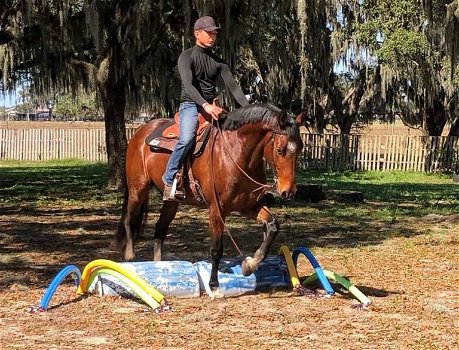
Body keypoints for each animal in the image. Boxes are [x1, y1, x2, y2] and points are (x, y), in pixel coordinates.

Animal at [117, 104, 306, 298]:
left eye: (300, 148)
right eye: (280, 150)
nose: (288, 191)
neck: (237, 153)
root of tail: (140, 133)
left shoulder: (250, 206)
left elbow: (273, 226)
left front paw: (249, 265)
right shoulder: (217, 209)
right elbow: (216, 248)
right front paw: (214, 286)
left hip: (171, 201)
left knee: (160, 228)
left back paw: (158, 264)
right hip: (138, 188)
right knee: (129, 218)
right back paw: (129, 254)